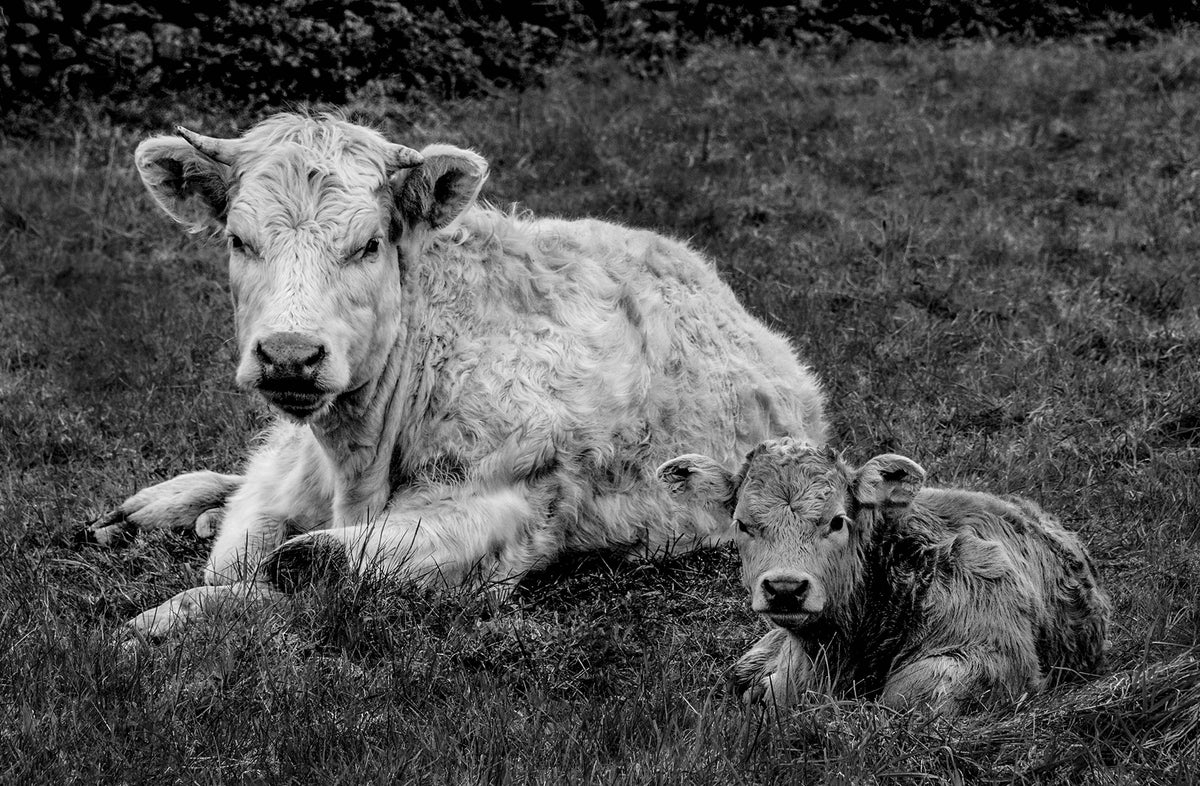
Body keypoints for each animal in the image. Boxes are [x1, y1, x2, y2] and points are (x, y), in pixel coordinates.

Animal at [88, 113, 827, 637]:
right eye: (240, 241)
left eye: (369, 244)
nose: (290, 354)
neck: (354, 464)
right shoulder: (286, 482)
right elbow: (245, 550)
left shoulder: (505, 506)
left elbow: (304, 563)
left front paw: (165, 624)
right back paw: (154, 508)